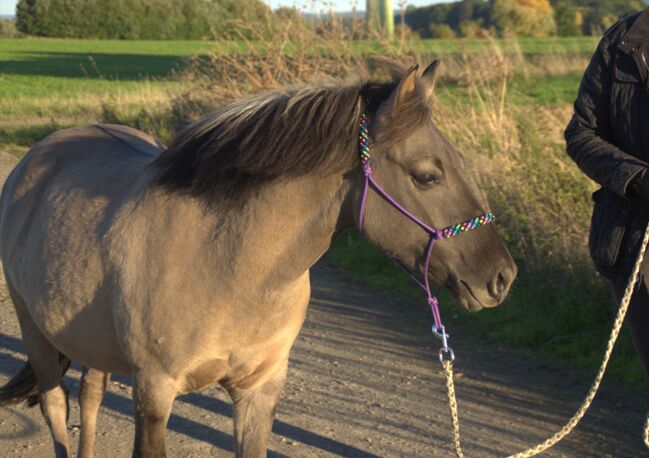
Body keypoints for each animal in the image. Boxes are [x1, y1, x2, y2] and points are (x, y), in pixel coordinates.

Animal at [0, 61, 516, 458]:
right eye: (427, 176)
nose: (501, 276)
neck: (229, 264)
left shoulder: (258, 392)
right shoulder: (153, 395)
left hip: (91, 341)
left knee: (90, 396)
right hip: (36, 332)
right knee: (56, 406)